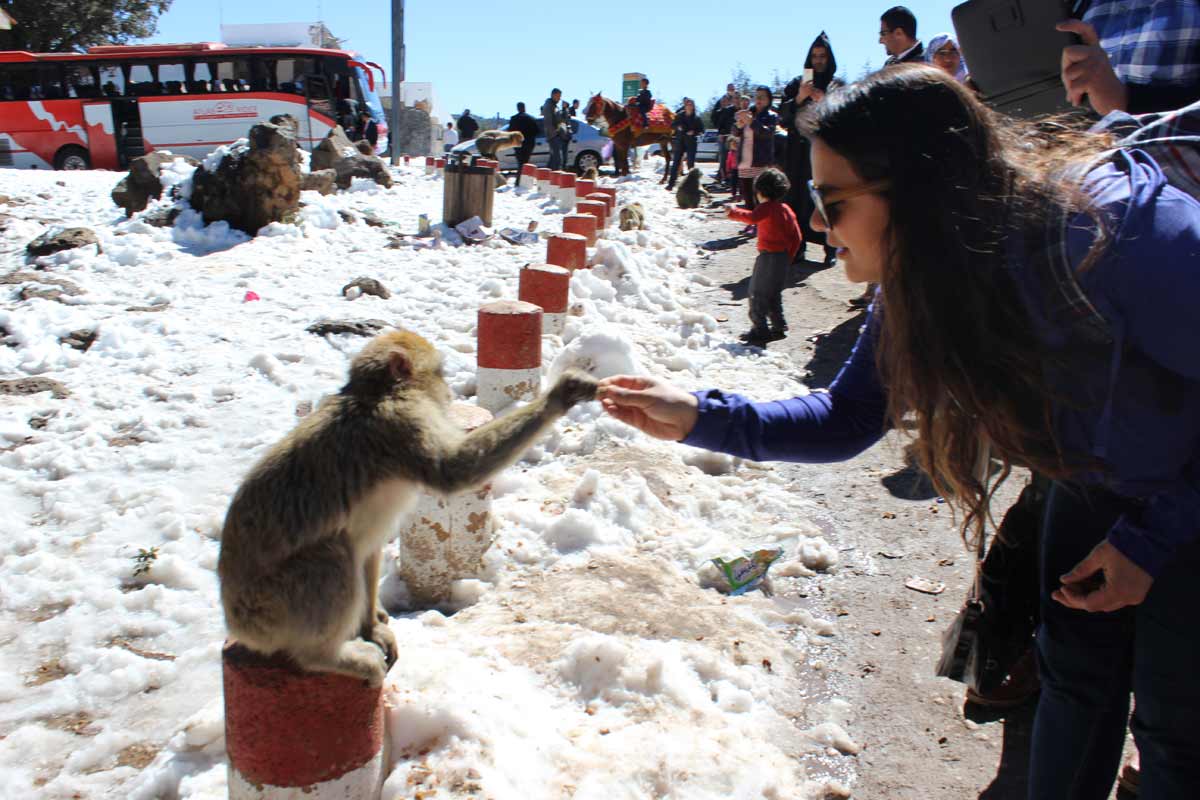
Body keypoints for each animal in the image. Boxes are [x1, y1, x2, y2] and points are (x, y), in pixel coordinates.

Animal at [217, 328, 600, 686]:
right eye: (440, 372)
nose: (448, 392)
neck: (376, 393)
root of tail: (237, 623)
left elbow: (370, 549)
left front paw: (372, 625)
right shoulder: (404, 422)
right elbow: (455, 470)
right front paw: (560, 395)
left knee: (357, 551)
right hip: (271, 608)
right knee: (332, 554)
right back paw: (328, 656)